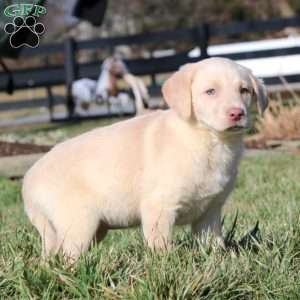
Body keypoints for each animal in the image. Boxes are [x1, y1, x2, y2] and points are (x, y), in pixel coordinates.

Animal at [22, 57, 268, 258]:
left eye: (244, 90)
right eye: (210, 92)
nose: (236, 113)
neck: (208, 139)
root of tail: (28, 181)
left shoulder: (209, 212)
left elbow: (214, 245)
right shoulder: (159, 208)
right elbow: (161, 248)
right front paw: (167, 266)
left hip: (87, 229)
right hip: (79, 223)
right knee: (67, 258)